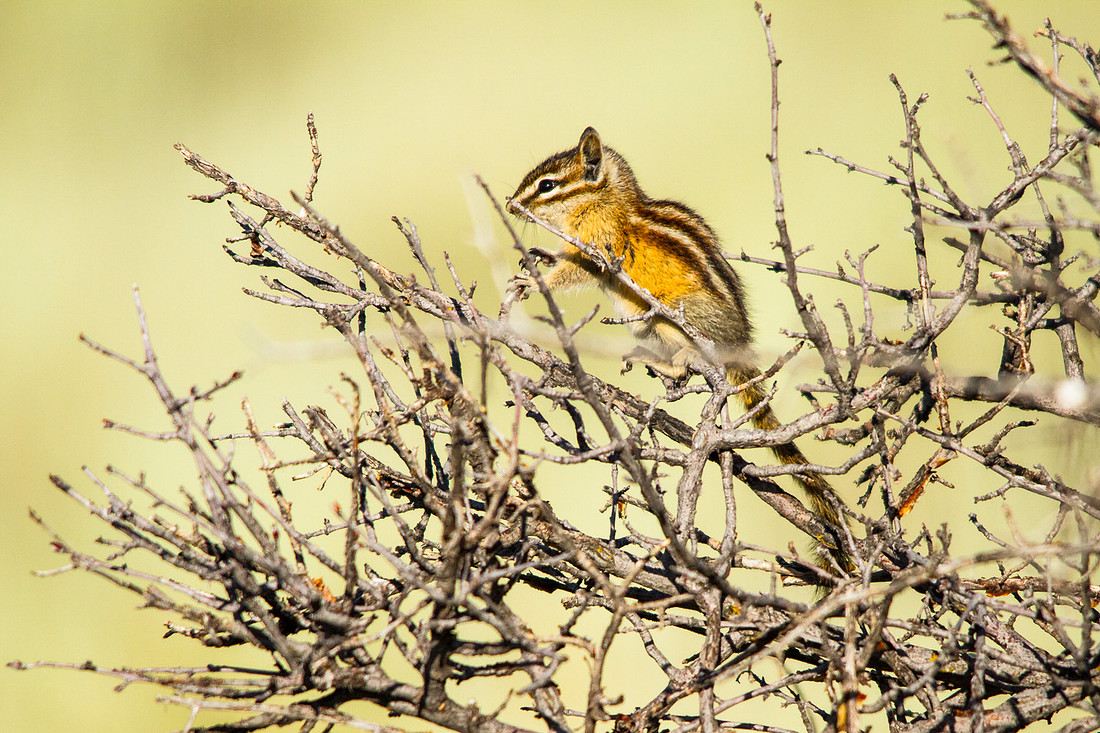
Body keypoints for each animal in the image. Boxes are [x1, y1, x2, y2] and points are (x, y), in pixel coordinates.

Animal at [507, 126, 852, 577]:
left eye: (547, 186)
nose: (511, 204)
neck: (604, 199)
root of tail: (739, 342)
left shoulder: (598, 247)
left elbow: (576, 271)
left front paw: (535, 281)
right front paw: (541, 255)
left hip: (675, 319)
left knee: (692, 364)